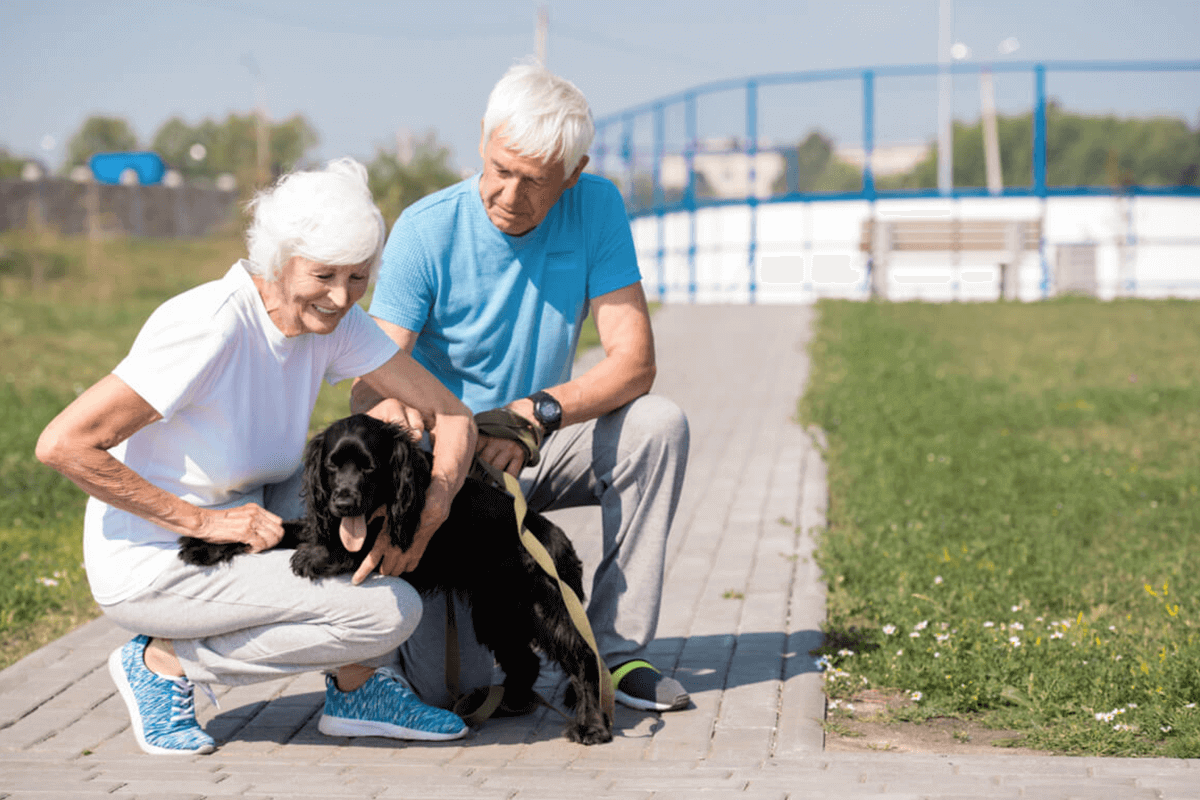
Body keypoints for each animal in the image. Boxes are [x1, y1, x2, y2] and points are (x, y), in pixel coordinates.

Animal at [177, 412, 609, 743]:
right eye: (332, 465)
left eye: (369, 466)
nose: (343, 502)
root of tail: (559, 542)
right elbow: (286, 528)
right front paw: (206, 543)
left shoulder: (391, 545)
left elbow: (346, 548)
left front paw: (315, 557)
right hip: (496, 613)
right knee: (526, 662)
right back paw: (507, 703)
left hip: (545, 610)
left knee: (584, 658)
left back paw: (592, 726)